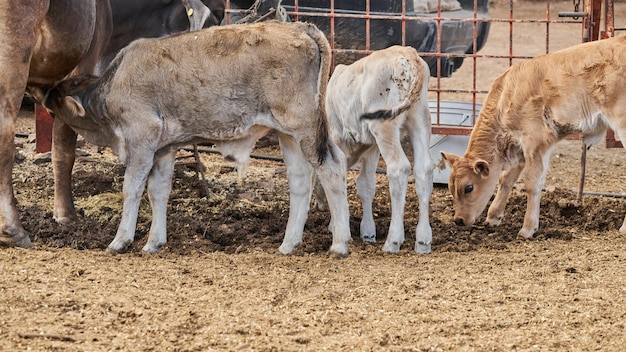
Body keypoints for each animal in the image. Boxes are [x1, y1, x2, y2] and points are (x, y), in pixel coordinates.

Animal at [36, 21, 352, 256]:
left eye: (58, 93)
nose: (42, 93)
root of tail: (300, 27)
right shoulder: (164, 148)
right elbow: (158, 191)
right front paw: (154, 242)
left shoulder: (141, 138)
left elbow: (132, 189)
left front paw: (120, 240)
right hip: (288, 134)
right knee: (300, 182)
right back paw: (288, 244)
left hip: (304, 126)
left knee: (332, 169)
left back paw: (340, 243)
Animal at [314, 45, 432, 254]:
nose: (318, 206)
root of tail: (407, 55)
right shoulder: (372, 147)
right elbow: (366, 185)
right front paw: (368, 232)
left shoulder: (337, 138)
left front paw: (335, 226)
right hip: (420, 120)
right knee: (423, 170)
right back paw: (423, 241)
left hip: (385, 127)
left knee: (399, 169)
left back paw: (393, 241)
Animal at [438, 35, 624, 239]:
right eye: (450, 187)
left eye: (468, 187)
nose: (459, 220)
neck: (506, 95)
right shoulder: (517, 147)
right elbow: (506, 179)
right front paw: (493, 217)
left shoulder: (535, 142)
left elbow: (532, 183)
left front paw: (528, 228)